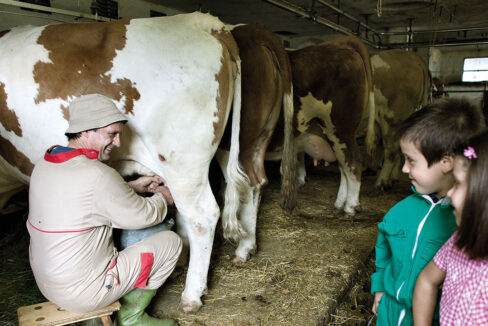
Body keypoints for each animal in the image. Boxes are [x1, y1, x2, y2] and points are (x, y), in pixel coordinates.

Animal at [215, 22, 296, 262]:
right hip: (262, 135)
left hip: (236, 141)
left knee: (247, 181)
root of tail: (254, 30)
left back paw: (243, 247)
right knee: (258, 181)